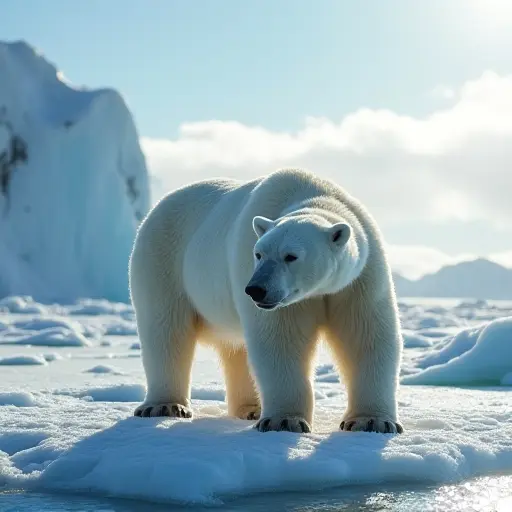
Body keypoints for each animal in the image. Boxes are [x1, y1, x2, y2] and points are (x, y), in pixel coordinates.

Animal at [130, 168, 406, 432]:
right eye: (259, 253)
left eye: (290, 256)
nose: (255, 290)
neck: (315, 196)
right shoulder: (280, 296)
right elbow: (280, 339)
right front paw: (284, 421)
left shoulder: (359, 280)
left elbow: (365, 335)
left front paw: (373, 422)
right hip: (164, 259)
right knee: (166, 329)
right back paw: (164, 406)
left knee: (236, 348)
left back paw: (250, 409)